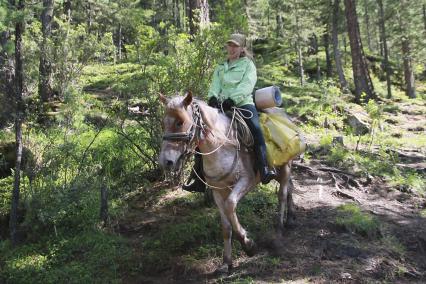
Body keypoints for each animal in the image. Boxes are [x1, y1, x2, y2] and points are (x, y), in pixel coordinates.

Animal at [158, 91, 294, 272]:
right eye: (163, 123)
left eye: (180, 122)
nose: (165, 161)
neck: (221, 144)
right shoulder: (218, 191)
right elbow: (226, 227)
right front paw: (226, 263)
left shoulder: (245, 181)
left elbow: (230, 206)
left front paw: (248, 245)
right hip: (279, 170)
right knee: (291, 187)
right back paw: (291, 217)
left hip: (285, 167)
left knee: (282, 194)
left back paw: (279, 229)